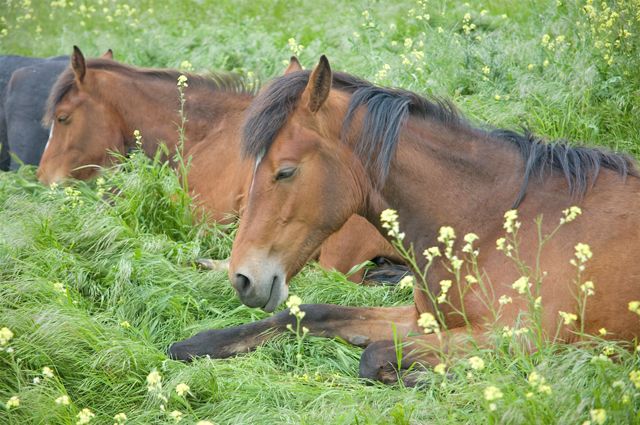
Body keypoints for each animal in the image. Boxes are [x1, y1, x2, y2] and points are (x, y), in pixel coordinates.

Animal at [169, 54, 640, 382]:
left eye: (285, 171)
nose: (242, 278)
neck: (492, 223)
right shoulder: (420, 319)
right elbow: (307, 314)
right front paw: (194, 344)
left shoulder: (518, 337)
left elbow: (374, 354)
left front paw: (427, 379)